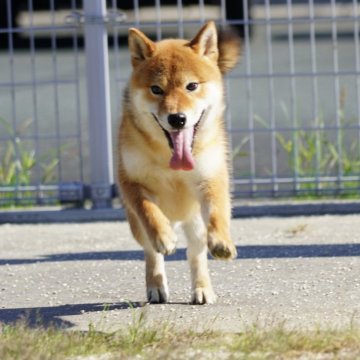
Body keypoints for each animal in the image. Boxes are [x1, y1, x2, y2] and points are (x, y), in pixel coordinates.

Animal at [118, 21, 240, 304]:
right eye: (156, 89)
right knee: (151, 252)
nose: (177, 119)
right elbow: (148, 211)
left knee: (195, 254)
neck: (169, 160)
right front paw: (163, 237)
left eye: (191, 86)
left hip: (194, 222)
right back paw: (156, 286)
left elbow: (218, 213)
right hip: (136, 226)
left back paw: (202, 289)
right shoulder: (131, 182)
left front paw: (222, 242)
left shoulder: (211, 178)